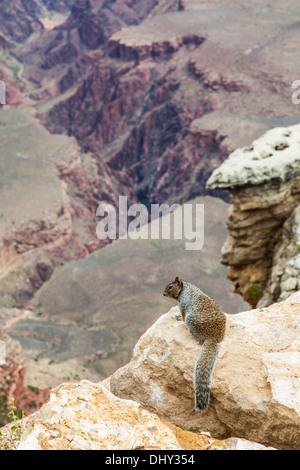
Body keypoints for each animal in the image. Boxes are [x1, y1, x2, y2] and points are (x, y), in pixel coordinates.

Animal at [164, 276, 225, 412]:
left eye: (170, 287)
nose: (163, 294)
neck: (185, 287)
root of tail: (212, 338)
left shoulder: (182, 304)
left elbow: (181, 314)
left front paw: (177, 318)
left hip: (191, 321)